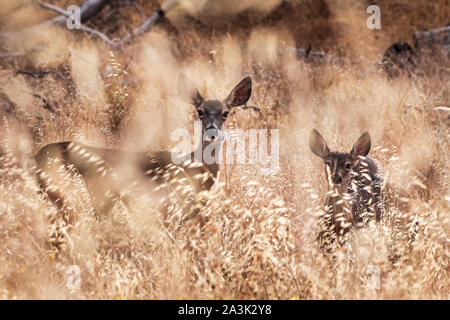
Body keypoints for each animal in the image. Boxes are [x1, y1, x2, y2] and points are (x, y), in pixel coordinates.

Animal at [33, 74, 255, 231]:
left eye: (225, 113)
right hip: (70, 195)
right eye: (200, 111)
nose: (211, 131)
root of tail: (36, 158)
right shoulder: (169, 207)